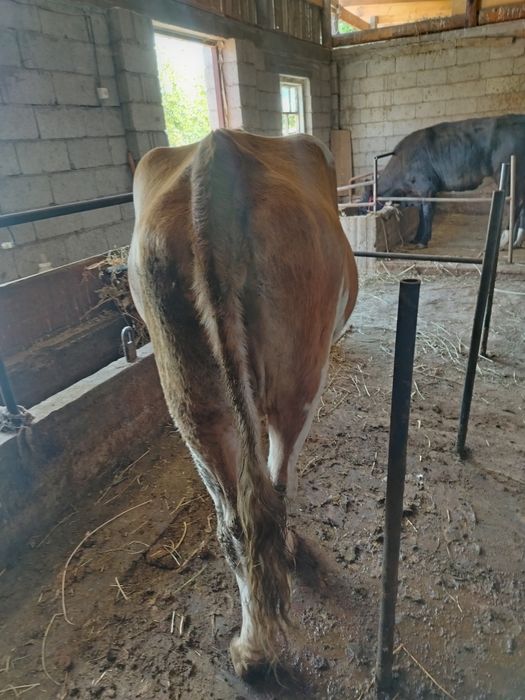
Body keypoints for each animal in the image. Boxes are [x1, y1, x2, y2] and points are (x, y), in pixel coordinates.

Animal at [128, 129, 358, 679]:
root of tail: (217, 153)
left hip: (190, 395)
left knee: (235, 520)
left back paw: (250, 650)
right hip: (299, 379)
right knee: (276, 485)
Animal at [363, 114, 525, 248]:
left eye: (366, 201)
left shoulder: (426, 187)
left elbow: (427, 213)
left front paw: (423, 241)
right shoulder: (421, 193)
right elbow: (421, 214)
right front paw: (416, 239)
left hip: (509, 175)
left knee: (515, 204)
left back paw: (505, 240)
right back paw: (517, 242)